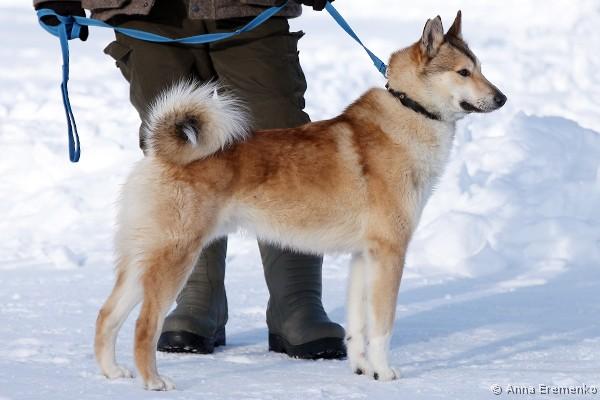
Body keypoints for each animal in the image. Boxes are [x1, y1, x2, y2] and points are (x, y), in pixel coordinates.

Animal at [94, 11, 506, 390]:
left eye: (480, 68)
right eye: (464, 72)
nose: (502, 98)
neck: (409, 109)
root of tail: (161, 154)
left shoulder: (364, 255)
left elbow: (358, 325)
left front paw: (362, 368)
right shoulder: (389, 252)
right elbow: (382, 325)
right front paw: (384, 372)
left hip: (143, 258)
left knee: (107, 314)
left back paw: (113, 372)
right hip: (175, 256)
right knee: (144, 324)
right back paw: (153, 380)